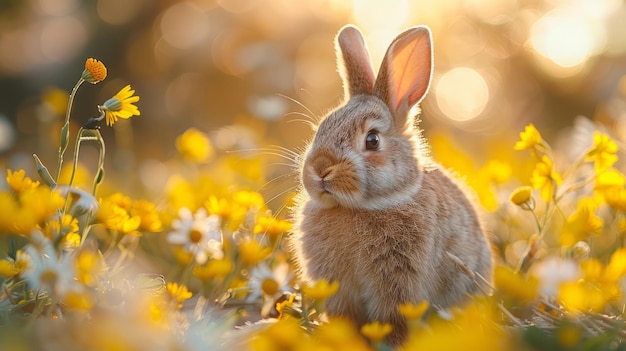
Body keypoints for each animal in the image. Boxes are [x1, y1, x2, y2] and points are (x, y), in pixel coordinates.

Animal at [288, 25, 492, 350]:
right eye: (321, 128)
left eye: (372, 140)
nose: (320, 168)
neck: (360, 207)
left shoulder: (399, 282)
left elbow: (394, 320)